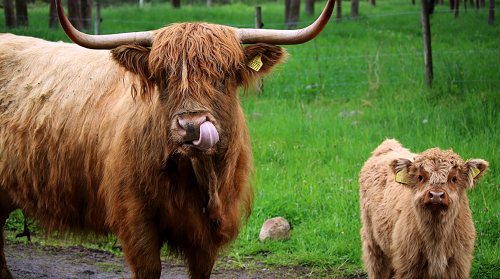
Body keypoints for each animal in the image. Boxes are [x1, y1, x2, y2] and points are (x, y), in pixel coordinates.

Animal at [0, 0, 336, 278]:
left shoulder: (208, 236)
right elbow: (150, 269)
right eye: (164, 76)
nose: (191, 126)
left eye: (224, 74)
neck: (201, 179)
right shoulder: (136, 221)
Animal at [358, 139, 490, 279]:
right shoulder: (408, 264)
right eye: (420, 177)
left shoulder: (458, 263)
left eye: (454, 178)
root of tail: (389, 144)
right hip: (372, 241)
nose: (436, 195)